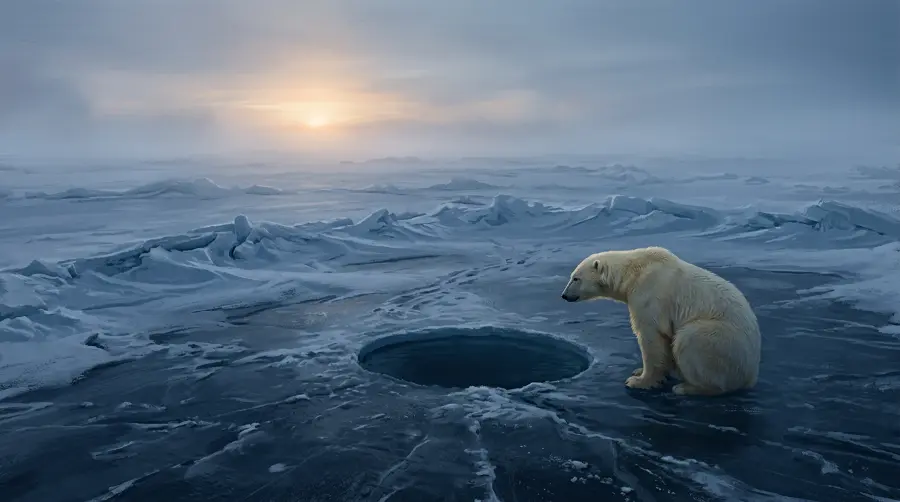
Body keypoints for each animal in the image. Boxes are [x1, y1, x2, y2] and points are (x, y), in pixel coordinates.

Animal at [560, 246, 760, 396]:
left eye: (576, 278)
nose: (564, 295)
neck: (633, 271)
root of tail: (751, 375)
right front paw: (641, 371)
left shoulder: (649, 294)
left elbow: (651, 337)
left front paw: (639, 381)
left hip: (720, 339)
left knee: (690, 339)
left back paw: (687, 387)